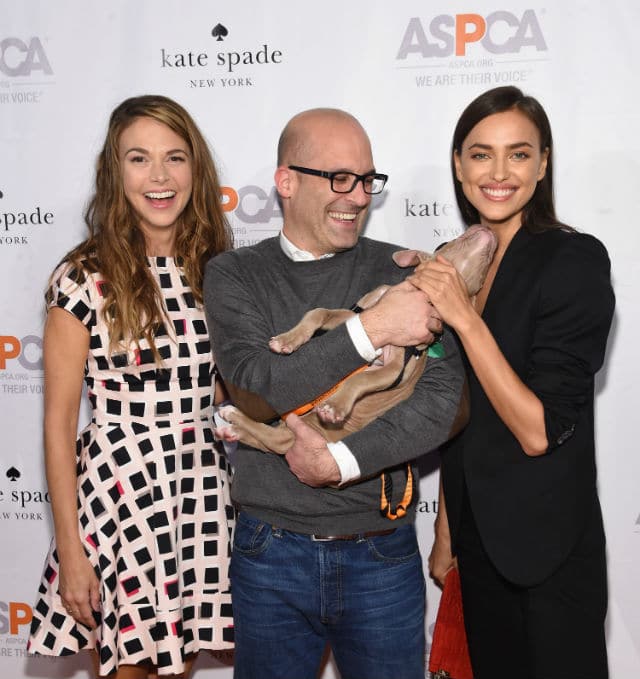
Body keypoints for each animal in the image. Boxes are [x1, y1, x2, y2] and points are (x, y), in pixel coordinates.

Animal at [215, 226, 496, 454]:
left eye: (480, 280)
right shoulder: (357, 317)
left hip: (304, 432)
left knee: (272, 441)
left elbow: (361, 379)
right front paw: (288, 340)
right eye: (449, 242)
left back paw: (234, 423)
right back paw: (232, 421)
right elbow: (317, 312)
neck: (421, 294)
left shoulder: (394, 368)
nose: (487, 229)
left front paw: (335, 406)